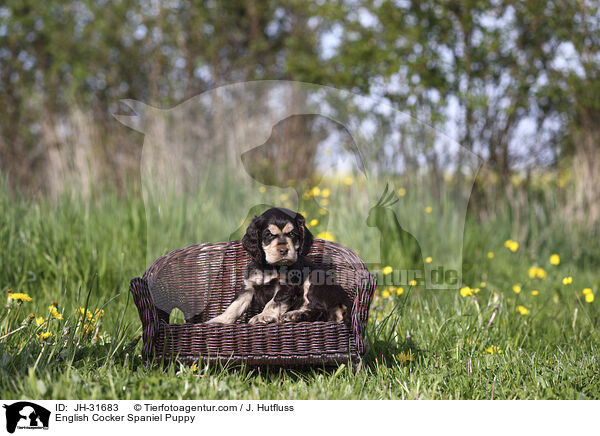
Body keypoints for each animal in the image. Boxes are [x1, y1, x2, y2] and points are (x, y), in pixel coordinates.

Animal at [206, 207, 350, 324]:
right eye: (269, 234)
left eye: (292, 234)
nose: (283, 250)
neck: (271, 267)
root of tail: (345, 302)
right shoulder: (249, 287)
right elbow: (235, 305)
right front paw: (219, 320)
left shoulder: (287, 286)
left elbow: (274, 302)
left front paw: (263, 316)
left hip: (315, 279)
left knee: (319, 310)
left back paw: (295, 315)